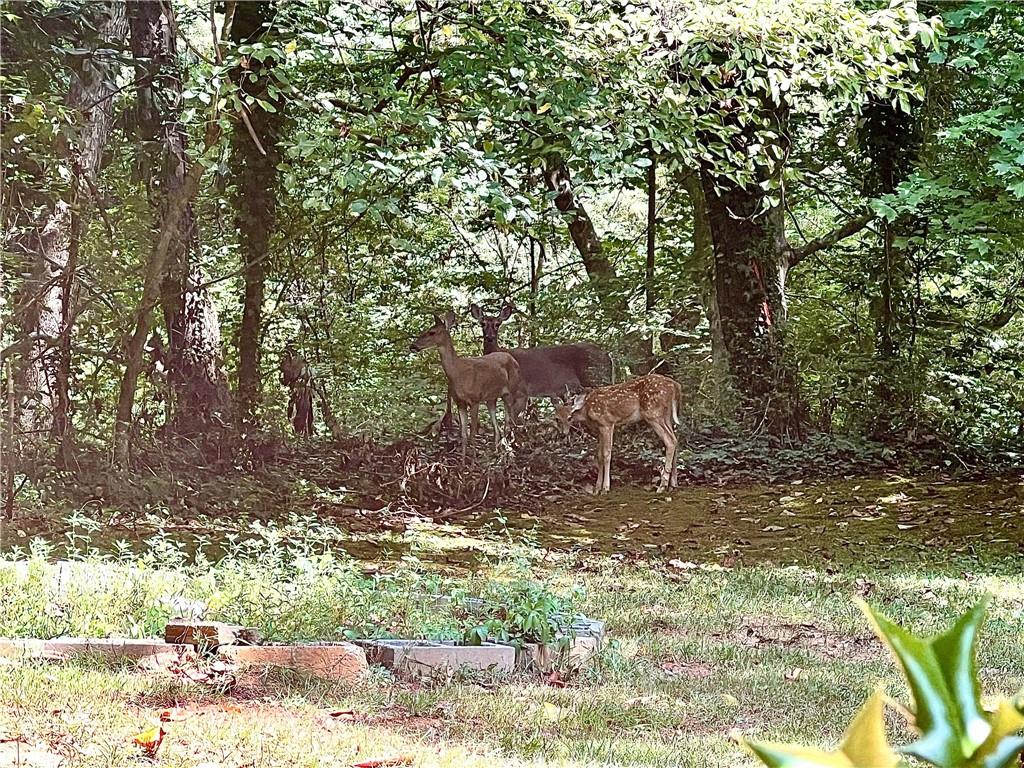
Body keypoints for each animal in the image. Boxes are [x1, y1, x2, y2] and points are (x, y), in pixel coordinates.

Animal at [409, 311, 524, 456]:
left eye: (431, 332)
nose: (412, 346)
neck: (458, 372)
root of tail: (513, 360)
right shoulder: (460, 402)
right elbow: (463, 435)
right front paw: (463, 461)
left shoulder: (475, 399)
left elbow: (473, 433)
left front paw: (473, 460)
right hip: (491, 398)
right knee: (497, 427)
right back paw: (497, 452)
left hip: (510, 391)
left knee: (510, 422)